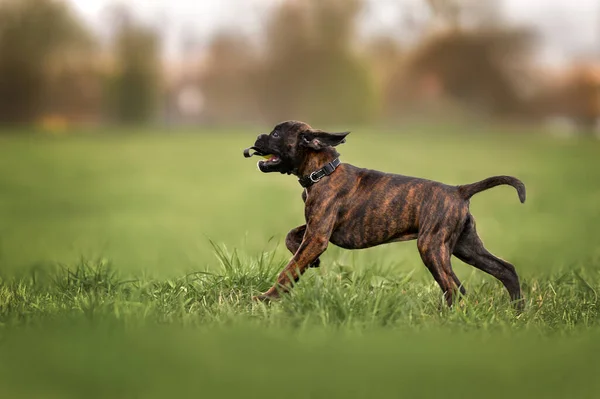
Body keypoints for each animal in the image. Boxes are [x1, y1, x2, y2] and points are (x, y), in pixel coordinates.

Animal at [244, 120, 524, 308]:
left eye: (276, 133)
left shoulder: (318, 234)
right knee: (504, 269)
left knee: (455, 286)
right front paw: (313, 263)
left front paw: (266, 299)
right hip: (464, 245)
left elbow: (289, 268)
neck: (322, 171)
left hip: (432, 246)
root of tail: (459, 190)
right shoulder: (316, 228)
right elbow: (292, 237)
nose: (257, 136)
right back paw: (517, 310)